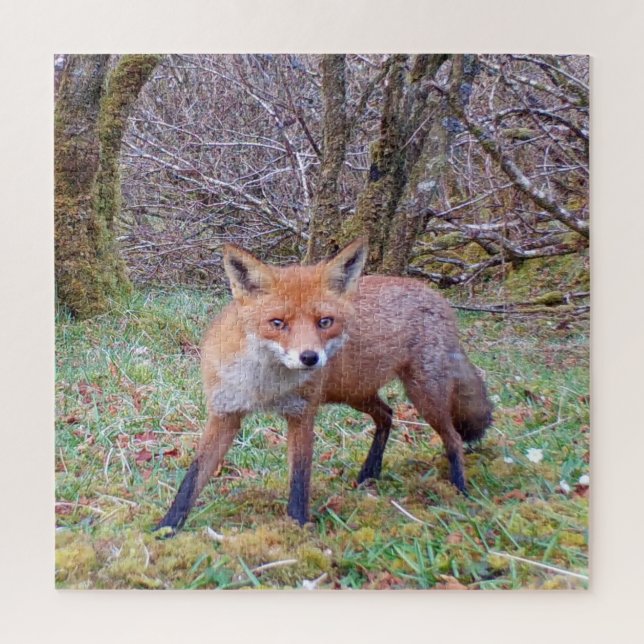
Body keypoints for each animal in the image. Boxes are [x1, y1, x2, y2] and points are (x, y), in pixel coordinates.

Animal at [156, 237, 492, 533]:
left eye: (325, 322)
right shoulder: (225, 413)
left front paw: (298, 527)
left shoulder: (301, 414)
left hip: (424, 395)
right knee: (388, 415)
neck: (265, 386)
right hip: (356, 393)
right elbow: (192, 477)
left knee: (452, 438)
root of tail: (436, 297)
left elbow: (300, 477)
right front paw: (166, 528)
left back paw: (460, 490)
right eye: (277, 323)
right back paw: (369, 473)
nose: (310, 358)